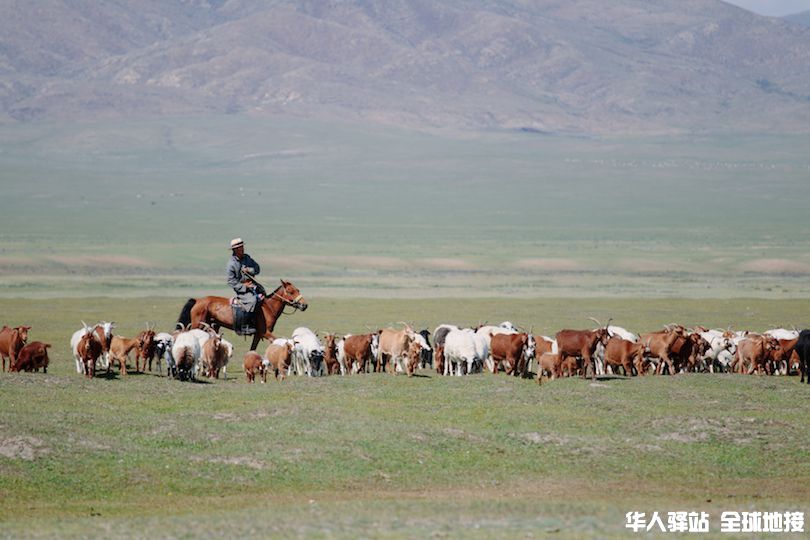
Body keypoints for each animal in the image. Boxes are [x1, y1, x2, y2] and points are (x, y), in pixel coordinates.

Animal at [177, 280, 306, 352]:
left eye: (297, 290)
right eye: (290, 291)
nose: (304, 305)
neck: (268, 307)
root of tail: (198, 300)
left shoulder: (258, 335)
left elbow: (253, 348)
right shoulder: (265, 332)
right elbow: (276, 341)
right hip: (197, 325)